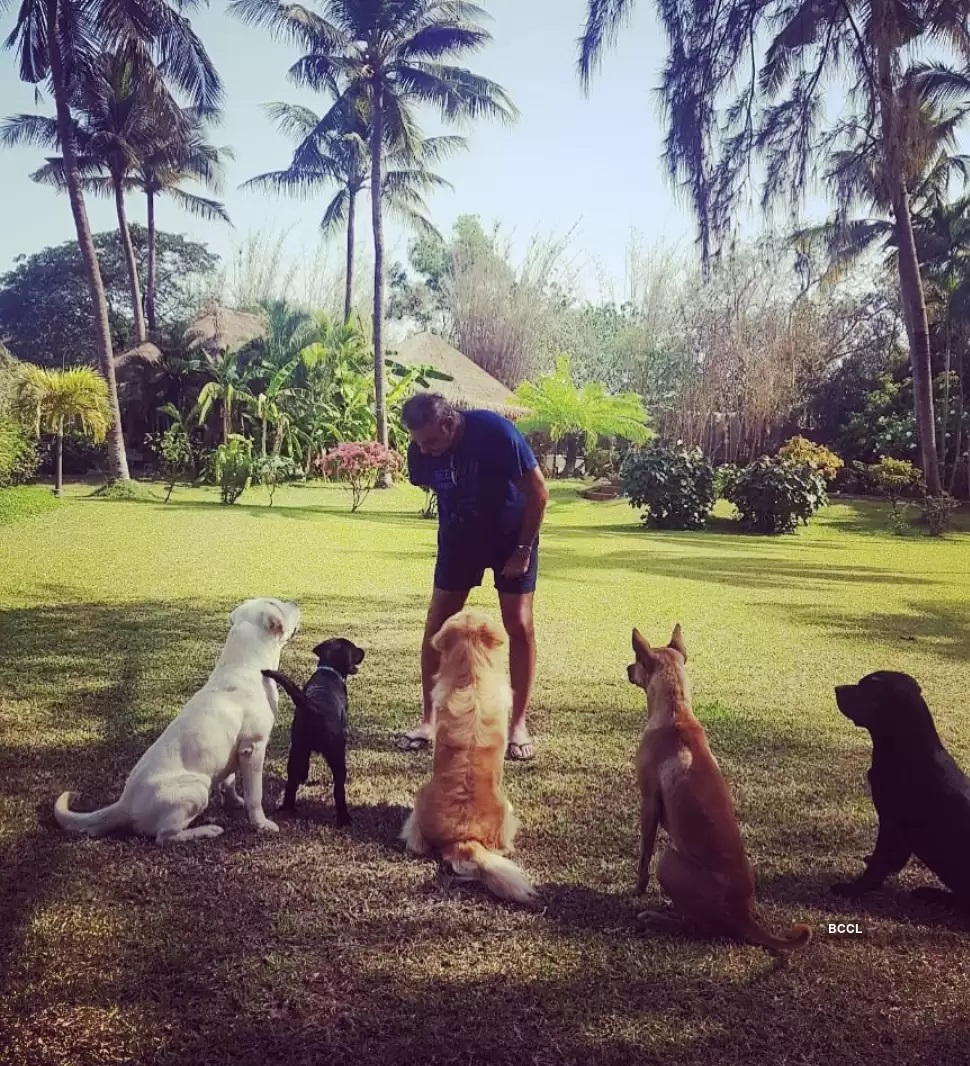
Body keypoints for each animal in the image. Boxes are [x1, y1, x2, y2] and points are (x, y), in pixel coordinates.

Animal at [54, 596, 300, 844]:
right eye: (276, 603)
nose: (295, 603)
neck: (247, 664)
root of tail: (124, 804)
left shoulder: (236, 750)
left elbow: (228, 782)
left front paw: (233, 802)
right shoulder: (253, 748)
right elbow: (255, 795)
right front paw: (262, 824)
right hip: (198, 788)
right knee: (165, 836)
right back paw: (207, 830)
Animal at [262, 635, 364, 827]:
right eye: (354, 649)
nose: (363, 650)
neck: (329, 670)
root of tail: (314, 707)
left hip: (296, 748)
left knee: (291, 781)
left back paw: (287, 807)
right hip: (336, 754)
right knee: (339, 789)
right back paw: (344, 819)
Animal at [631, 622, 814, 959]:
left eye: (636, 660)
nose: (625, 669)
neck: (677, 711)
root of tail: (745, 915)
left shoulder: (648, 803)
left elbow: (643, 857)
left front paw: (638, 890)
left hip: (669, 859)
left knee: (693, 925)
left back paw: (656, 917)